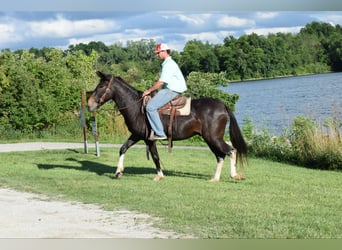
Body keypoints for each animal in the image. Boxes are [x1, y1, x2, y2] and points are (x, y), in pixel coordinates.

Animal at [87, 71, 248, 182]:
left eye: (102, 86)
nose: (89, 104)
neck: (137, 107)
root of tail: (222, 105)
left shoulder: (149, 139)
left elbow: (155, 157)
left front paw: (159, 176)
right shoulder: (137, 135)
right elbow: (123, 149)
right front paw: (118, 172)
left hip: (213, 138)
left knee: (231, 150)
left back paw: (234, 175)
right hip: (210, 139)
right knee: (221, 155)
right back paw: (215, 178)